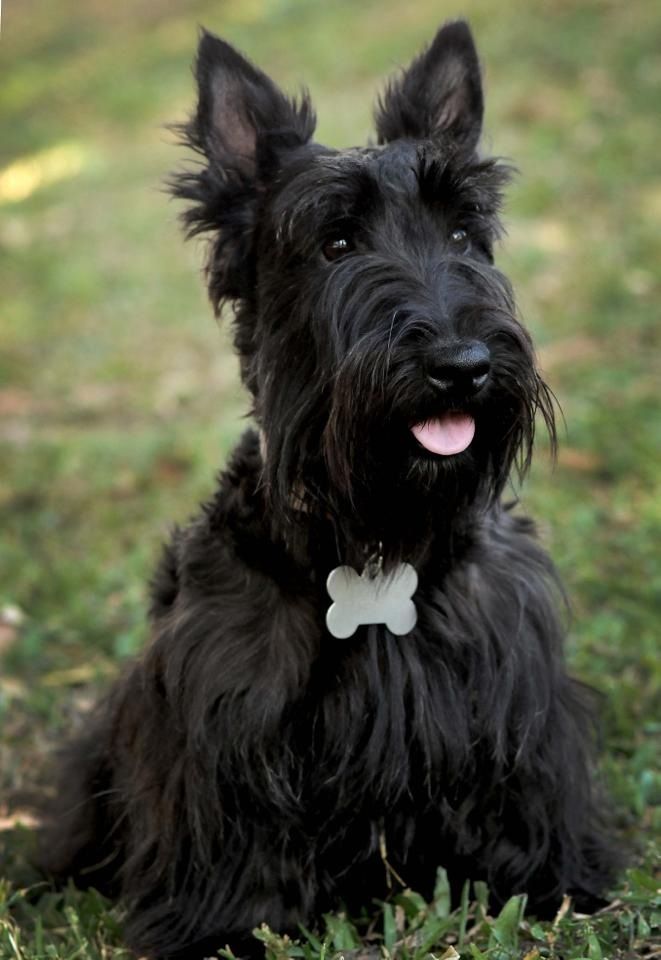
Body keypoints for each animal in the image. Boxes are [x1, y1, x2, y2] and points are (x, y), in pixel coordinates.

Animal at [45, 18, 620, 956]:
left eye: (461, 234)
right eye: (335, 243)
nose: (462, 364)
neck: (378, 536)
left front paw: (550, 881)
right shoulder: (222, 716)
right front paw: (224, 925)